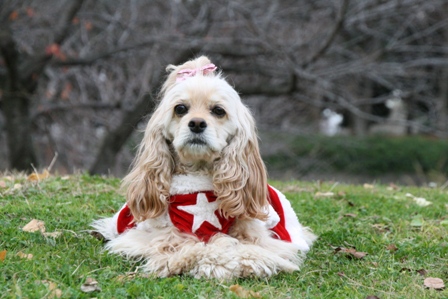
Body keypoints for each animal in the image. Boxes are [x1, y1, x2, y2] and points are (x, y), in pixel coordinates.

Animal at [92, 56, 316, 282]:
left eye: (218, 111)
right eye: (180, 108)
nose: (197, 123)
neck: (198, 172)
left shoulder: (263, 237)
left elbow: (247, 246)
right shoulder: (149, 236)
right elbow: (185, 245)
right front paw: (211, 259)